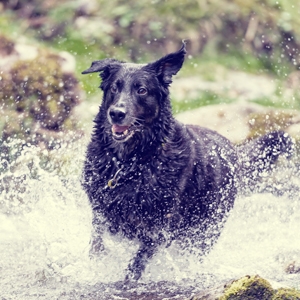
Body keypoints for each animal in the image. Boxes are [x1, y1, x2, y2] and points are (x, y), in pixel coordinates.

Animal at [81, 42, 292, 282]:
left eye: (141, 90)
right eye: (114, 88)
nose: (116, 113)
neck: (131, 161)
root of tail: (232, 149)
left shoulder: (159, 228)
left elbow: (137, 263)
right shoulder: (101, 214)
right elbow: (97, 246)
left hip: (204, 232)